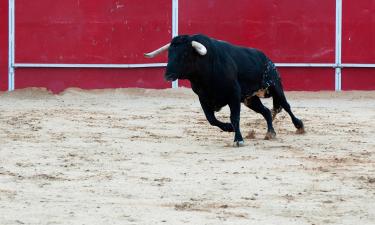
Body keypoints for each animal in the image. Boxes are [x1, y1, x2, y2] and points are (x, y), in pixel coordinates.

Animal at [145, 33, 304, 146]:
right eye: (169, 54)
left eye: (184, 54)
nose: (167, 75)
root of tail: (267, 59)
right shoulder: (203, 98)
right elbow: (211, 119)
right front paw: (229, 128)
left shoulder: (233, 95)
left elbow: (235, 117)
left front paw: (238, 139)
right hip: (250, 99)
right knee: (266, 111)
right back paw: (270, 133)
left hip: (275, 86)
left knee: (286, 106)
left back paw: (299, 126)